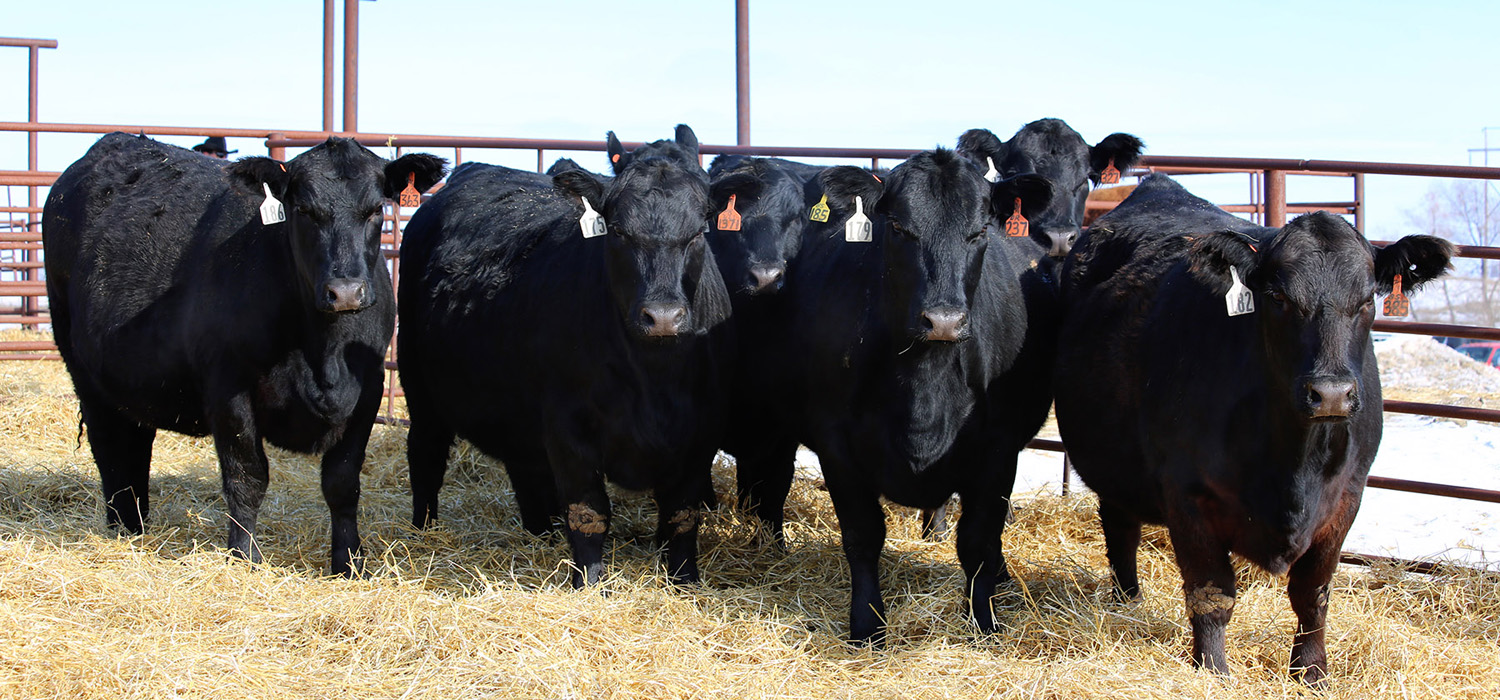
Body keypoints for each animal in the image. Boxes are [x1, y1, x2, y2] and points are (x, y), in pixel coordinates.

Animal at [42, 131, 444, 575]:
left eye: (375, 210)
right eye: (303, 209)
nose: (345, 292)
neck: (323, 354)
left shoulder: (368, 389)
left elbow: (342, 482)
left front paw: (349, 563)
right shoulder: (229, 387)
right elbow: (247, 477)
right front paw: (244, 557)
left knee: (134, 443)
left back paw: (136, 526)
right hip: (83, 369)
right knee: (110, 447)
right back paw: (123, 529)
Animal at [396, 125, 729, 587]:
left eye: (698, 232)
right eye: (618, 232)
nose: (662, 316)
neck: (653, 378)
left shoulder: (700, 433)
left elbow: (682, 516)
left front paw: (685, 581)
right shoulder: (568, 425)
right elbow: (589, 513)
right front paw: (590, 584)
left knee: (524, 468)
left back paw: (540, 531)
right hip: (419, 389)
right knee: (425, 457)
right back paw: (422, 532)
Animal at [780, 150, 1050, 644]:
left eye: (980, 231)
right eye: (900, 228)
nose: (943, 320)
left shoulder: (999, 448)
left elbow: (978, 540)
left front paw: (983, 623)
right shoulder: (835, 443)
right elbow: (862, 535)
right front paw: (867, 625)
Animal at [1056, 175, 1452, 686]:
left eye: (1368, 300)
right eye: (1279, 297)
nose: (1330, 394)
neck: (1293, 462)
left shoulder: (1347, 498)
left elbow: (1312, 594)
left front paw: (1312, 672)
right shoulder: (1188, 496)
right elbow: (1212, 595)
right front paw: (1212, 670)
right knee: (1120, 528)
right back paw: (1128, 601)